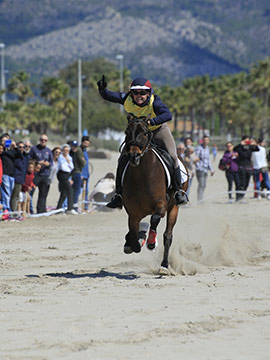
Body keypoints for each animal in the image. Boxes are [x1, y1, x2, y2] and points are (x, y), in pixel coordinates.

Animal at [121, 115, 189, 276]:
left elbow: (155, 219)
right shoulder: (133, 212)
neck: (142, 175)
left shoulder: (161, 205)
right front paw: (133, 242)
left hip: (174, 208)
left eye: (145, 133)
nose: (134, 156)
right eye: (127, 132)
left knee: (167, 236)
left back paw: (164, 266)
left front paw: (151, 242)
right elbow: (133, 233)